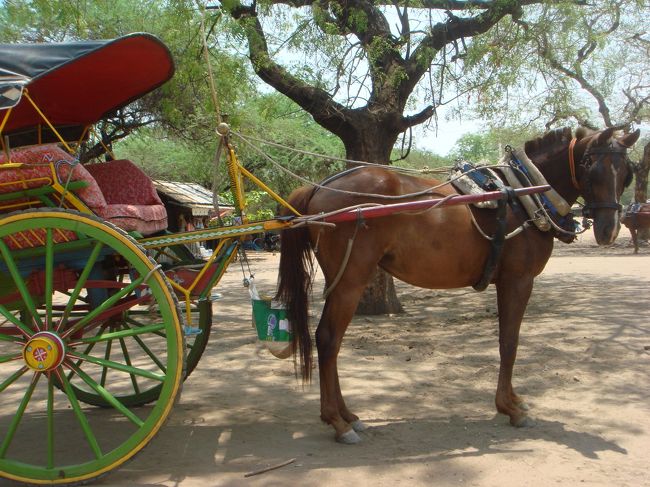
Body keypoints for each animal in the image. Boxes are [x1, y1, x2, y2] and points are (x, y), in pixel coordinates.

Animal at [276, 126, 640, 444]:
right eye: (590, 165)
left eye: (626, 172)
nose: (609, 229)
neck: (525, 195)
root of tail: (319, 188)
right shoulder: (518, 280)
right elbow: (509, 342)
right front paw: (511, 408)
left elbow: (506, 341)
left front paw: (511, 402)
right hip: (351, 280)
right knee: (328, 339)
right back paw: (337, 422)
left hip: (343, 280)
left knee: (331, 341)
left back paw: (347, 416)